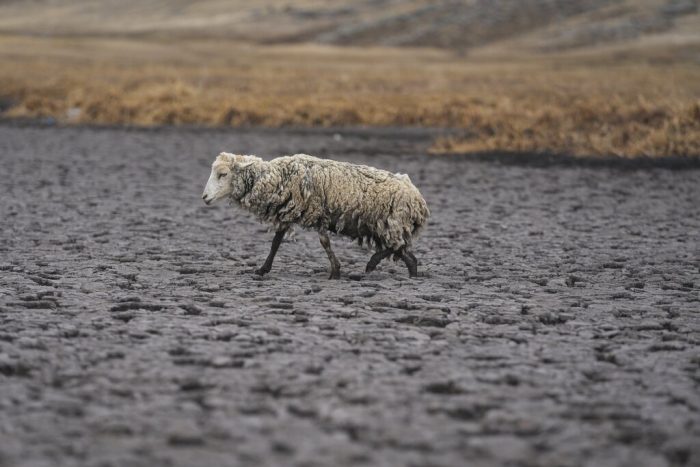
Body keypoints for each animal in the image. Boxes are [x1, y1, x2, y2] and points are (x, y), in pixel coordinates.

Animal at [202, 153, 430, 278]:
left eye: (223, 174)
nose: (204, 197)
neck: (277, 177)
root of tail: (418, 199)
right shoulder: (288, 212)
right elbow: (276, 243)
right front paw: (263, 269)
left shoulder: (317, 212)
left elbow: (324, 243)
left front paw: (335, 271)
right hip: (388, 227)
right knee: (407, 254)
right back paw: (410, 274)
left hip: (391, 223)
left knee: (397, 247)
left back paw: (372, 263)